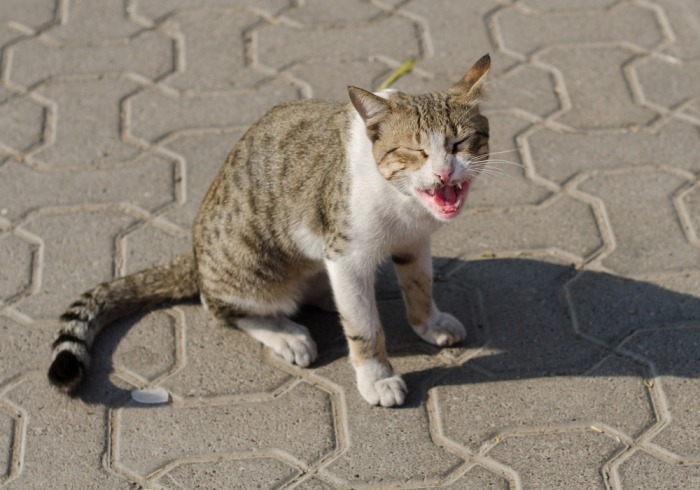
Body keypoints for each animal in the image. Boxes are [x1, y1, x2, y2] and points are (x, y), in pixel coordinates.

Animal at [47, 53, 492, 408]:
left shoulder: (413, 241)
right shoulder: (346, 252)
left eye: (461, 143)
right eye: (415, 151)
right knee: (221, 305)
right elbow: (364, 329)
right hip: (254, 266)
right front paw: (377, 377)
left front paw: (428, 323)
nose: (443, 172)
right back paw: (285, 333)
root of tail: (194, 254)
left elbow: (420, 285)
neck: (403, 201)